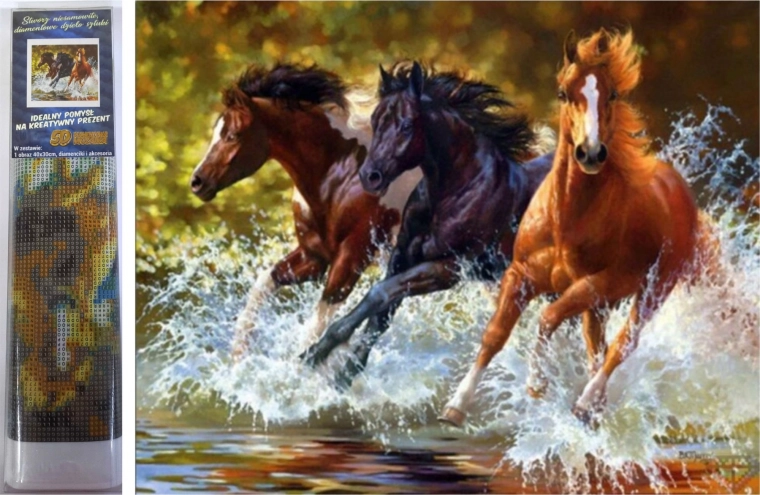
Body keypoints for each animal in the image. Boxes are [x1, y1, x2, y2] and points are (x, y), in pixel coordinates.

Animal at [189, 64, 422, 360]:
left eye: (232, 135)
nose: (197, 182)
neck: (342, 176)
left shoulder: (352, 257)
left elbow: (316, 325)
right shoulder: (314, 255)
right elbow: (264, 283)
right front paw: (238, 357)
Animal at [301, 61, 554, 390]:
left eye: (407, 125)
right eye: (375, 120)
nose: (370, 176)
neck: (457, 191)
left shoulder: (449, 268)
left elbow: (378, 294)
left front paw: (319, 351)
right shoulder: (403, 256)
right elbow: (381, 314)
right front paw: (344, 373)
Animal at [440, 29, 720, 428]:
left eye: (613, 94)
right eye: (563, 93)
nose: (590, 153)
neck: (565, 221)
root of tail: (680, 190)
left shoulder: (601, 283)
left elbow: (548, 318)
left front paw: (536, 384)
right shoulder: (521, 275)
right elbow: (495, 334)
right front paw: (457, 405)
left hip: (651, 289)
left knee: (622, 343)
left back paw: (586, 403)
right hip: (597, 306)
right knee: (596, 347)